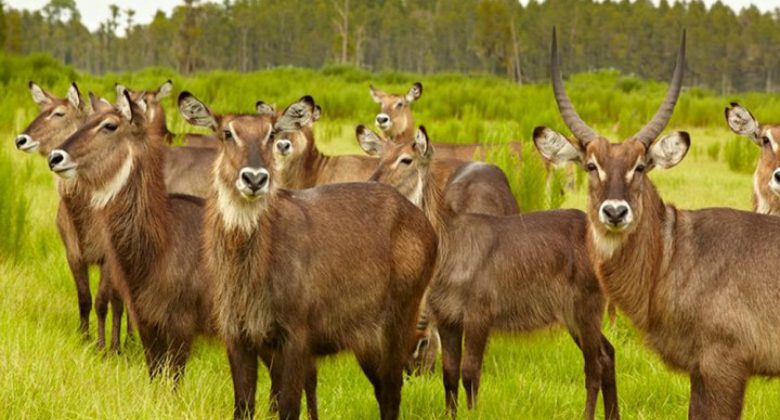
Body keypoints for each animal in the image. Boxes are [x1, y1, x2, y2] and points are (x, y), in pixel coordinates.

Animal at [181, 90, 438, 418]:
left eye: (271, 133)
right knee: (384, 391)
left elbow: (289, 407)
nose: (255, 178)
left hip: (397, 324)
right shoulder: (238, 337)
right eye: (226, 132)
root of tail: (422, 221)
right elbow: (245, 407)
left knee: (392, 393)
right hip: (367, 341)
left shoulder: (295, 337)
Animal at [362, 123, 620, 418]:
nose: (372, 183)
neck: (450, 241)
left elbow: (470, 374)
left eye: (406, 159)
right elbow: (449, 375)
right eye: (380, 158)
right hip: (573, 316)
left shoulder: (479, 315)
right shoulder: (448, 319)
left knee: (594, 366)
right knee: (607, 354)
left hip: (586, 310)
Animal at [536, 30, 780, 420]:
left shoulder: (725, 365)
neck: (674, 254)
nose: (615, 212)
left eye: (639, 166)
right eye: (591, 165)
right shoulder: (700, 370)